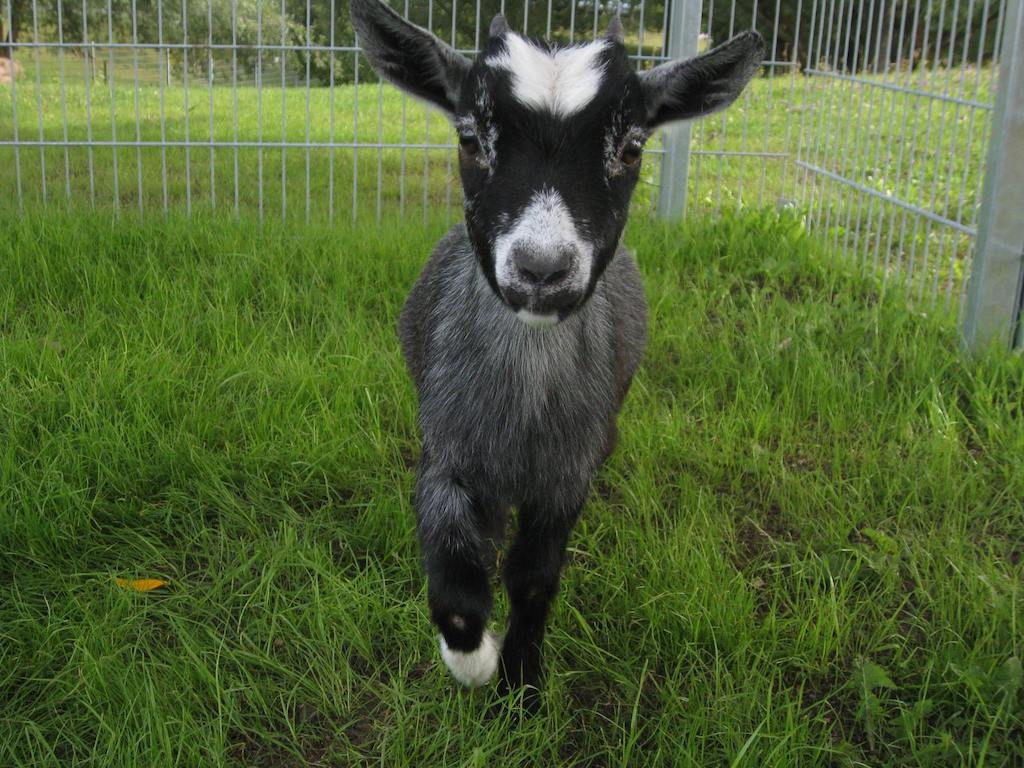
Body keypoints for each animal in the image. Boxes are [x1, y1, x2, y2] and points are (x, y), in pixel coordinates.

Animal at [350, 0, 764, 705]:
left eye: (632, 147)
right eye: (469, 138)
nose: (542, 268)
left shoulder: (567, 478)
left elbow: (535, 580)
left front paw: (521, 680)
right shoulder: (446, 453)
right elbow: (455, 575)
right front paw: (476, 661)